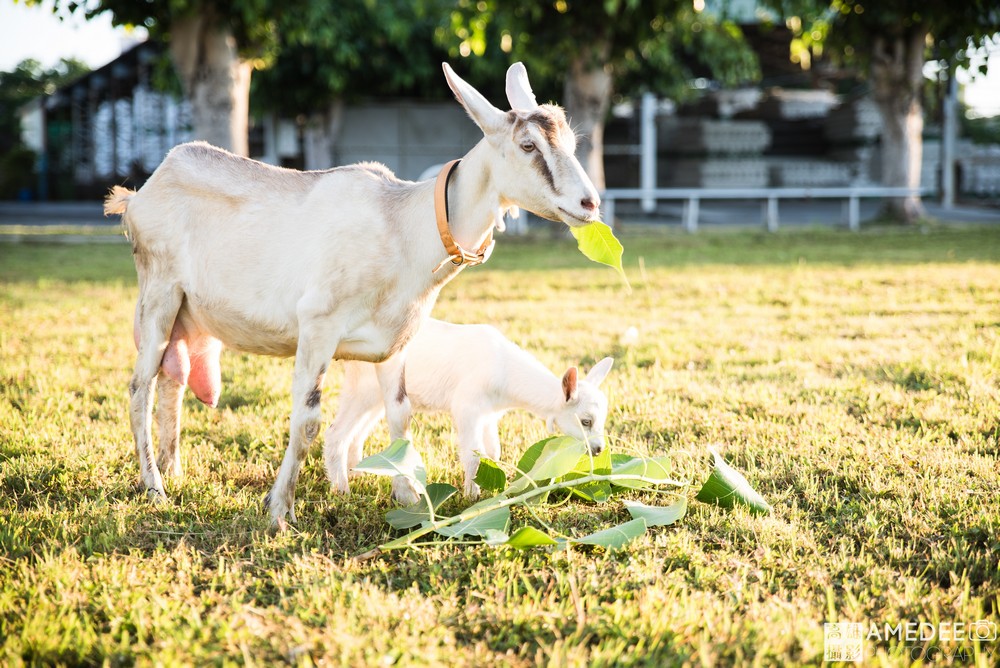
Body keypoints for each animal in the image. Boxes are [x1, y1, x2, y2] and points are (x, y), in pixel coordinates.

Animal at [324, 320, 612, 498]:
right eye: (586, 421)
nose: (598, 449)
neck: (504, 369)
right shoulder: (467, 406)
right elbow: (474, 455)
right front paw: (471, 496)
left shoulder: (489, 414)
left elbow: (493, 453)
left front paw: (492, 485)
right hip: (363, 388)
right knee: (336, 432)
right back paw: (342, 490)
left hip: (376, 395)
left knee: (358, 433)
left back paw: (359, 473)